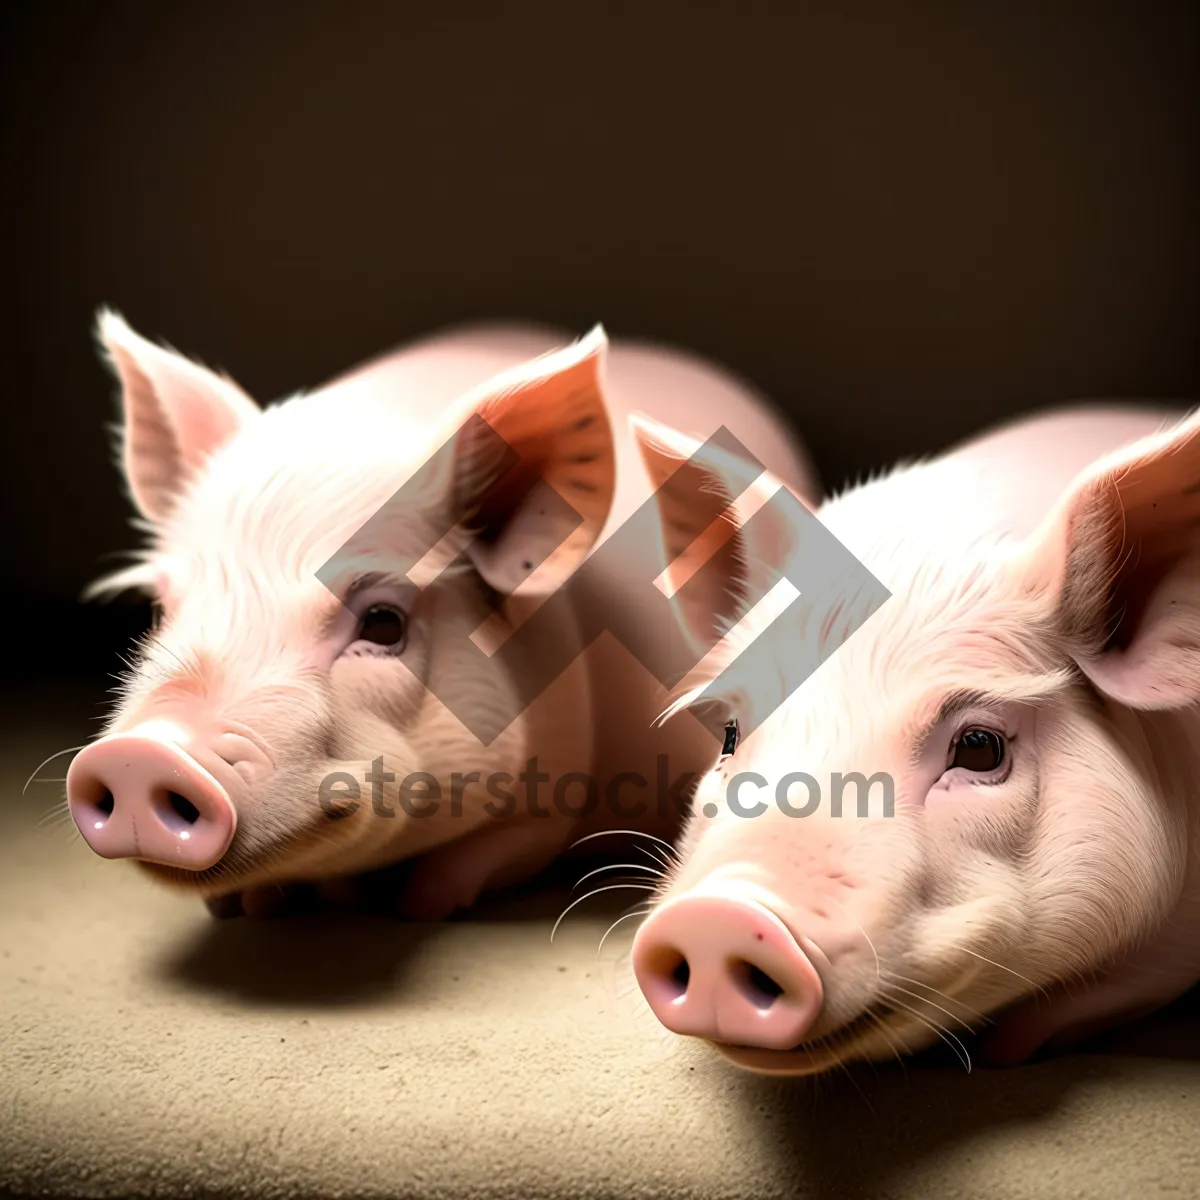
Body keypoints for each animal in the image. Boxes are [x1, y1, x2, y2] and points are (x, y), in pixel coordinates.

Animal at [63, 312, 816, 916]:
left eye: (382, 623)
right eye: (164, 607)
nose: (142, 752)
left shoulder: (552, 799)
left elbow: (487, 854)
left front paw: (417, 907)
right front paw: (253, 908)